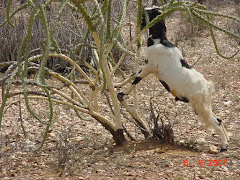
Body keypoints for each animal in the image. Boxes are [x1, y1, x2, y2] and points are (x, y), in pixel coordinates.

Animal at [115, 6, 230, 152]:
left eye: (151, 12)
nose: (142, 10)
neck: (160, 41)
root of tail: (207, 87)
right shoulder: (147, 66)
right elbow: (133, 74)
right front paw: (116, 84)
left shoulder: (150, 67)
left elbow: (137, 78)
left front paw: (123, 93)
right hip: (204, 104)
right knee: (219, 119)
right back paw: (226, 142)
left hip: (200, 106)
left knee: (216, 122)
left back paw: (224, 146)